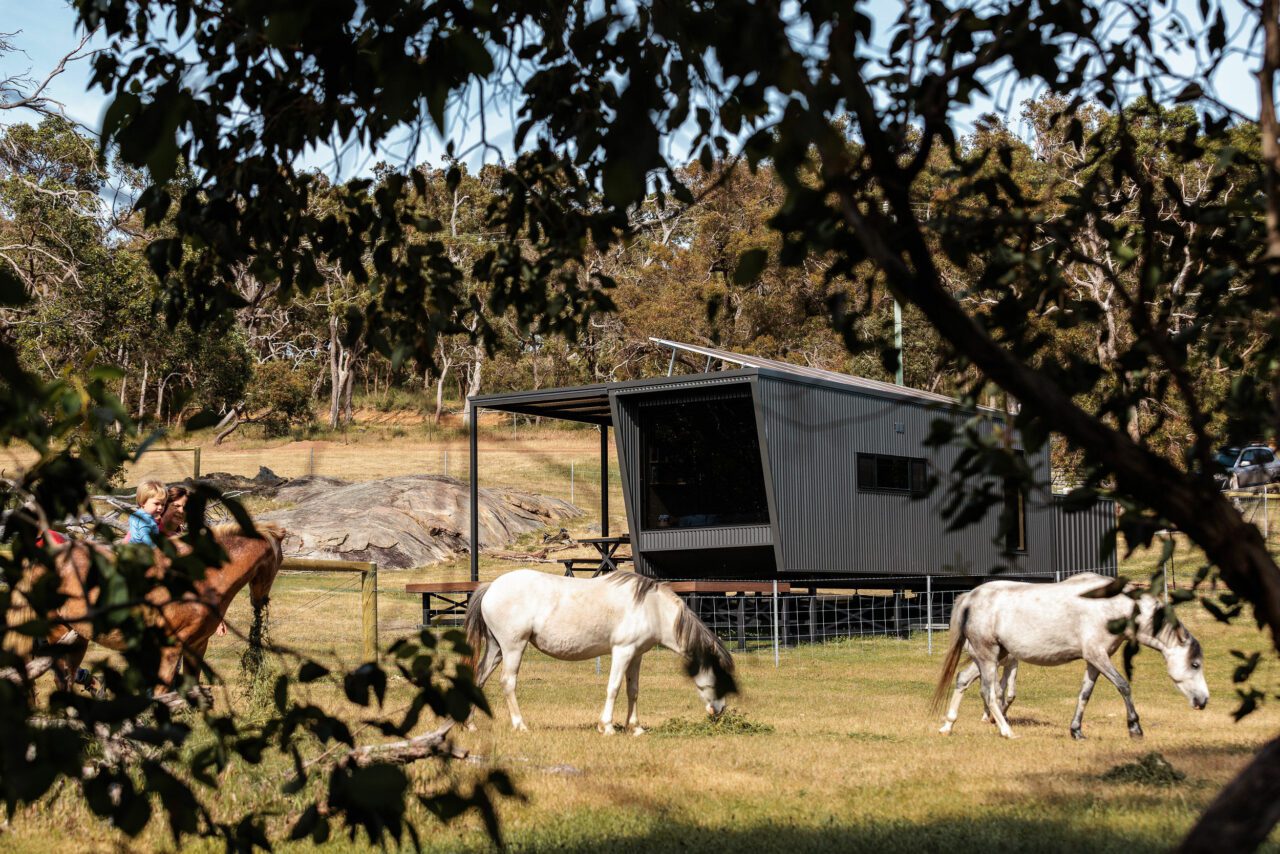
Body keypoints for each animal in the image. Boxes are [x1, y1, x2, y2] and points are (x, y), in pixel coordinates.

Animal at [11, 522, 285, 696]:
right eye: (279, 561)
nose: (262, 601)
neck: (203, 576)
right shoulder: (172, 647)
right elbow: (163, 690)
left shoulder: (197, 646)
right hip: (59, 635)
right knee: (63, 679)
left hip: (76, 638)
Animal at [463, 570, 737, 735]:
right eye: (721, 678)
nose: (719, 711)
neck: (652, 607)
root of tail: (491, 586)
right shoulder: (622, 652)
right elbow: (613, 688)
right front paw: (607, 727)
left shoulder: (636, 655)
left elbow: (633, 690)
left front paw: (635, 728)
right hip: (513, 647)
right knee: (508, 682)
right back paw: (520, 725)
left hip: (496, 649)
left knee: (479, 678)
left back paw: (470, 724)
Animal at [933, 572, 1208, 739]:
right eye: (1195, 664)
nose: (1203, 701)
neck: (1113, 607)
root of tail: (970, 596)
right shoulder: (1098, 656)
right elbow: (1124, 686)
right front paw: (1135, 729)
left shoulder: (1094, 661)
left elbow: (1084, 694)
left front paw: (1076, 731)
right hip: (989, 657)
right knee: (989, 693)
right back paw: (1006, 731)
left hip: (993, 657)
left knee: (964, 680)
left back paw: (948, 725)